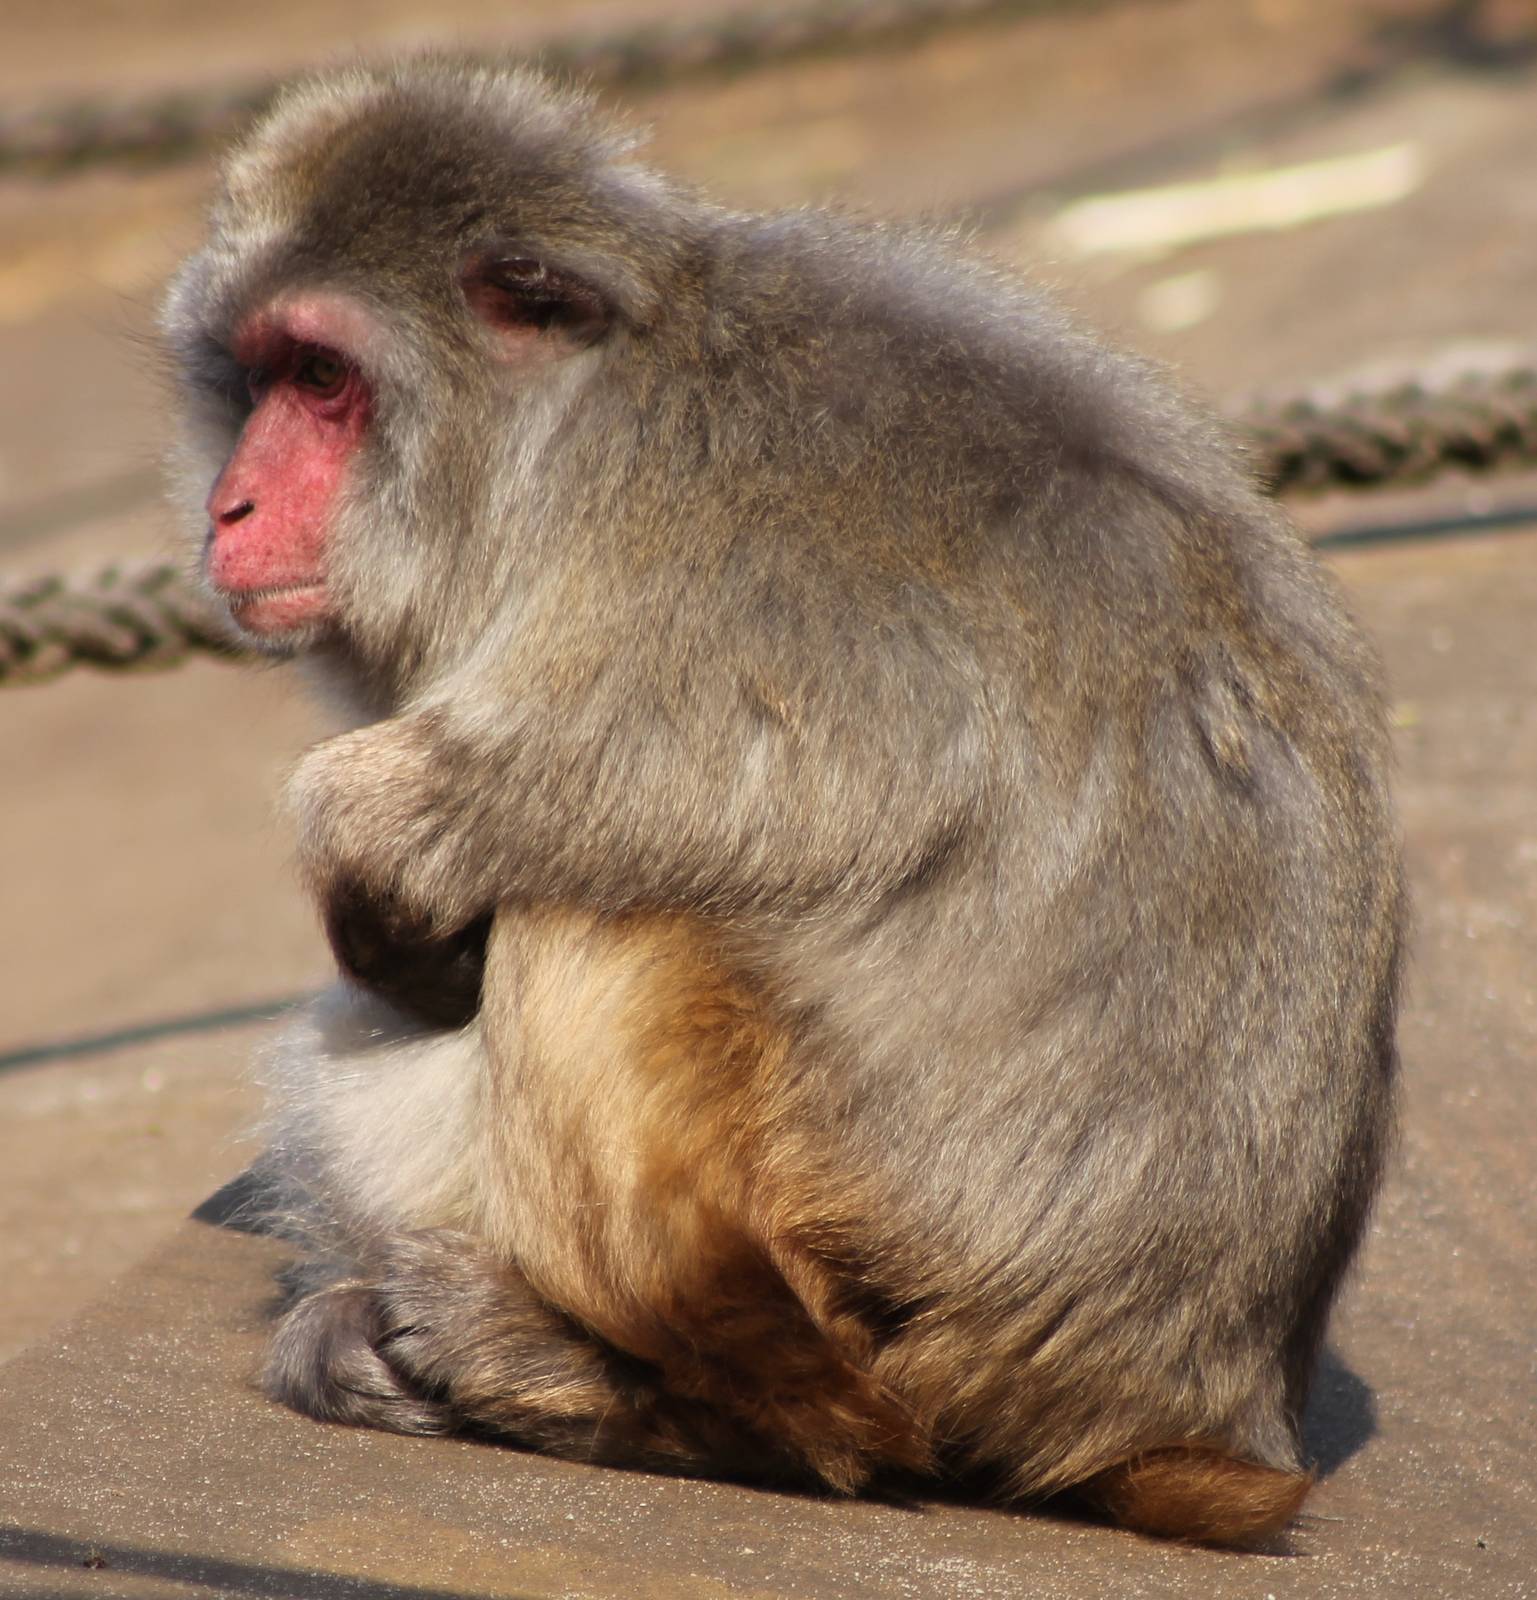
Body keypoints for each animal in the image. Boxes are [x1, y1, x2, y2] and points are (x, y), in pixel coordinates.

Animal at [162, 58, 1404, 1548]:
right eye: (256, 381)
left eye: (323, 378)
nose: (230, 509)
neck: (572, 417)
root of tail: (1183, 1409)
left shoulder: (666, 538)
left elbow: (693, 776)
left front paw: (369, 849)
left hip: (875, 1275)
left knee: (598, 923)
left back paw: (668, 1401)